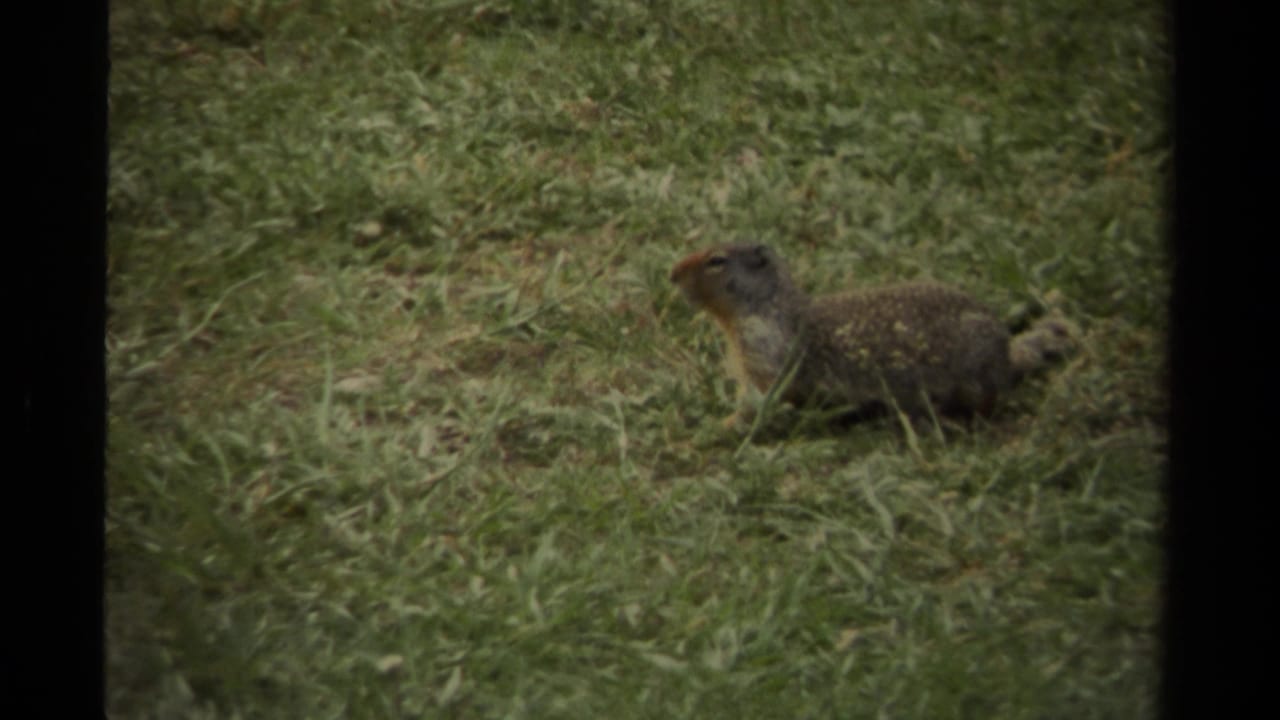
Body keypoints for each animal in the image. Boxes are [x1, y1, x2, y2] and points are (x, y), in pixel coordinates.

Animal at [669, 243, 1076, 428]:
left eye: (716, 261)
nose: (672, 273)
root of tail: (1007, 354)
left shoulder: (765, 348)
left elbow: (766, 397)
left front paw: (723, 424)